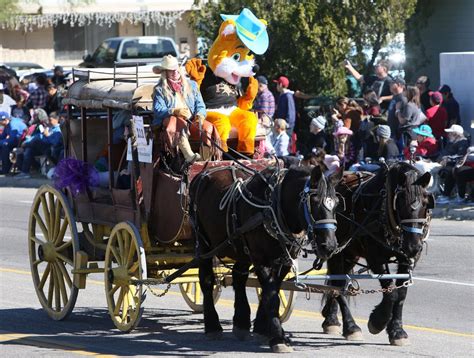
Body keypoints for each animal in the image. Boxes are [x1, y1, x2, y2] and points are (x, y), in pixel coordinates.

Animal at [191, 162, 342, 352]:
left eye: (336, 204)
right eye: (314, 203)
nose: (329, 246)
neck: (274, 206)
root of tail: (203, 173)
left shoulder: (284, 260)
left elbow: (272, 290)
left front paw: (262, 329)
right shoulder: (260, 259)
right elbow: (271, 296)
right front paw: (278, 338)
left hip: (241, 249)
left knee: (238, 278)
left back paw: (241, 323)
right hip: (203, 243)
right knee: (206, 280)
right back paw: (212, 326)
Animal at [320, 163, 436, 346]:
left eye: (426, 202)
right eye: (399, 202)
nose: (414, 246)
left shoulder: (408, 259)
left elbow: (401, 294)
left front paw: (397, 331)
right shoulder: (375, 257)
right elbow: (391, 291)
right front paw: (378, 321)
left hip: (350, 253)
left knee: (337, 284)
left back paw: (330, 318)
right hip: (335, 251)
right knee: (338, 284)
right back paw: (350, 327)